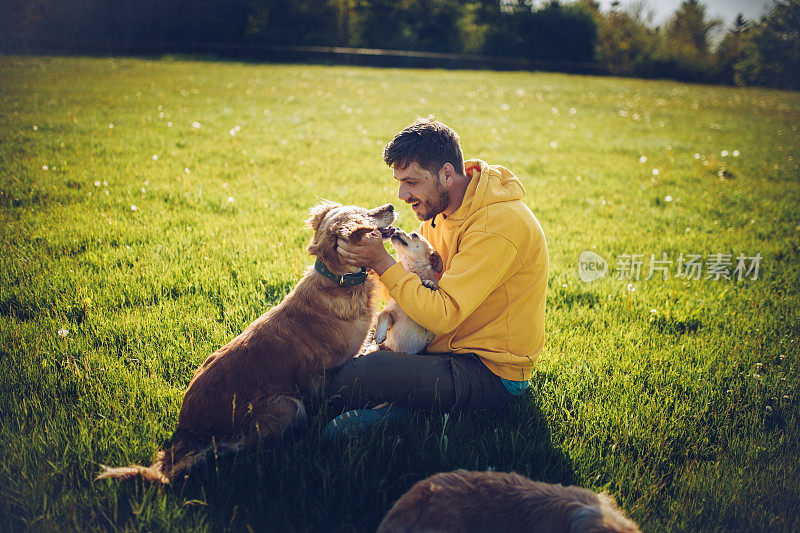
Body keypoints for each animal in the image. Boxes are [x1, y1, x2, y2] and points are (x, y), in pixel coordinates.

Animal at [97, 201, 396, 482]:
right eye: (366, 215)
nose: (391, 206)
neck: (340, 281)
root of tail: (187, 431)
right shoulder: (326, 374)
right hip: (286, 404)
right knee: (247, 449)